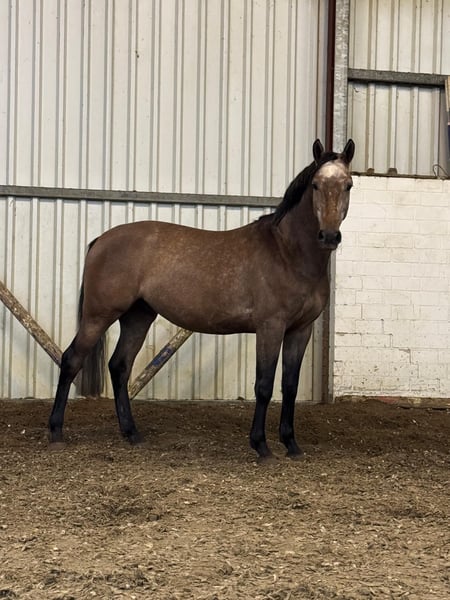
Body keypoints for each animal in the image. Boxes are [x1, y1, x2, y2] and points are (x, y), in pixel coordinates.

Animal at [48, 138, 355, 460]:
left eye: (348, 185)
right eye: (316, 185)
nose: (329, 236)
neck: (287, 253)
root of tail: (100, 240)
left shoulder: (300, 330)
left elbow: (290, 385)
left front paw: (291, 445)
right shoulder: (270, 327)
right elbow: (264, 385)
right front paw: (261, 446)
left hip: (138, 316)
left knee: (120, 367)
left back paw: (132, 434)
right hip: (99, 315)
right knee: (72, 360)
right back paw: (56, 432)